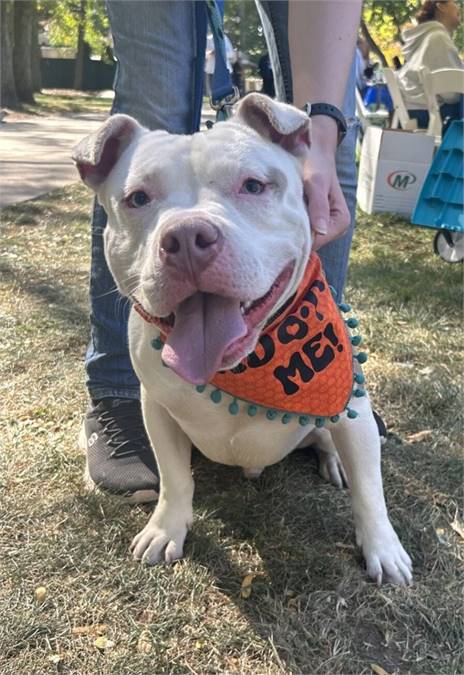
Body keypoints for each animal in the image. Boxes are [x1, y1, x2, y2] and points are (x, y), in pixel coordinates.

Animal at [73, 92, 414, 584]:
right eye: (137, 198)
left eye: (253, 186)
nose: (187, 236)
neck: (247, 363)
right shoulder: (157, 411)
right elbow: (174, 478)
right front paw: (166, 527)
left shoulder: (351, 407)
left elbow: (371, 489)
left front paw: (383, 550)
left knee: (333, 443)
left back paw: (335, 461)